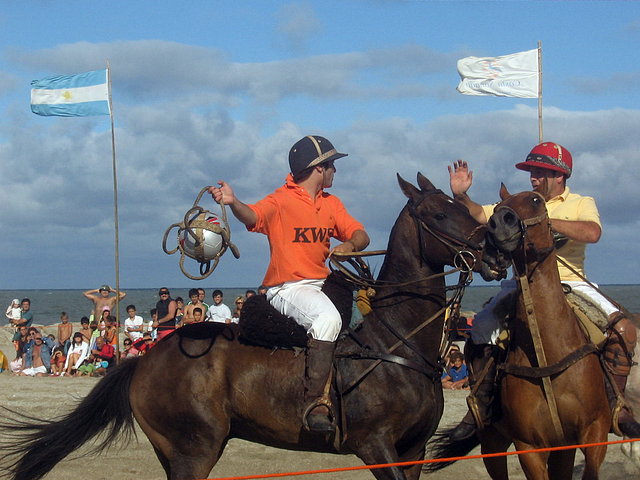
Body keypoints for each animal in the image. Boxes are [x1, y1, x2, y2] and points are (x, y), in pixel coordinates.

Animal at [0, 174, 496, 480]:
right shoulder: (375, 446)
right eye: (439, 215)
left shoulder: (412, 451)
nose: (494, 250)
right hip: (194, 448)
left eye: (461, 208)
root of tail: (143, 360)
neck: (397, 342)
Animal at [428, 186, 612, 478]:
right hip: (493, 442)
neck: (547, 352)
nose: (500, 222)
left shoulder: (594, 432)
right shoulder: (530, 447)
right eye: (497, 206)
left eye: (535, 200)